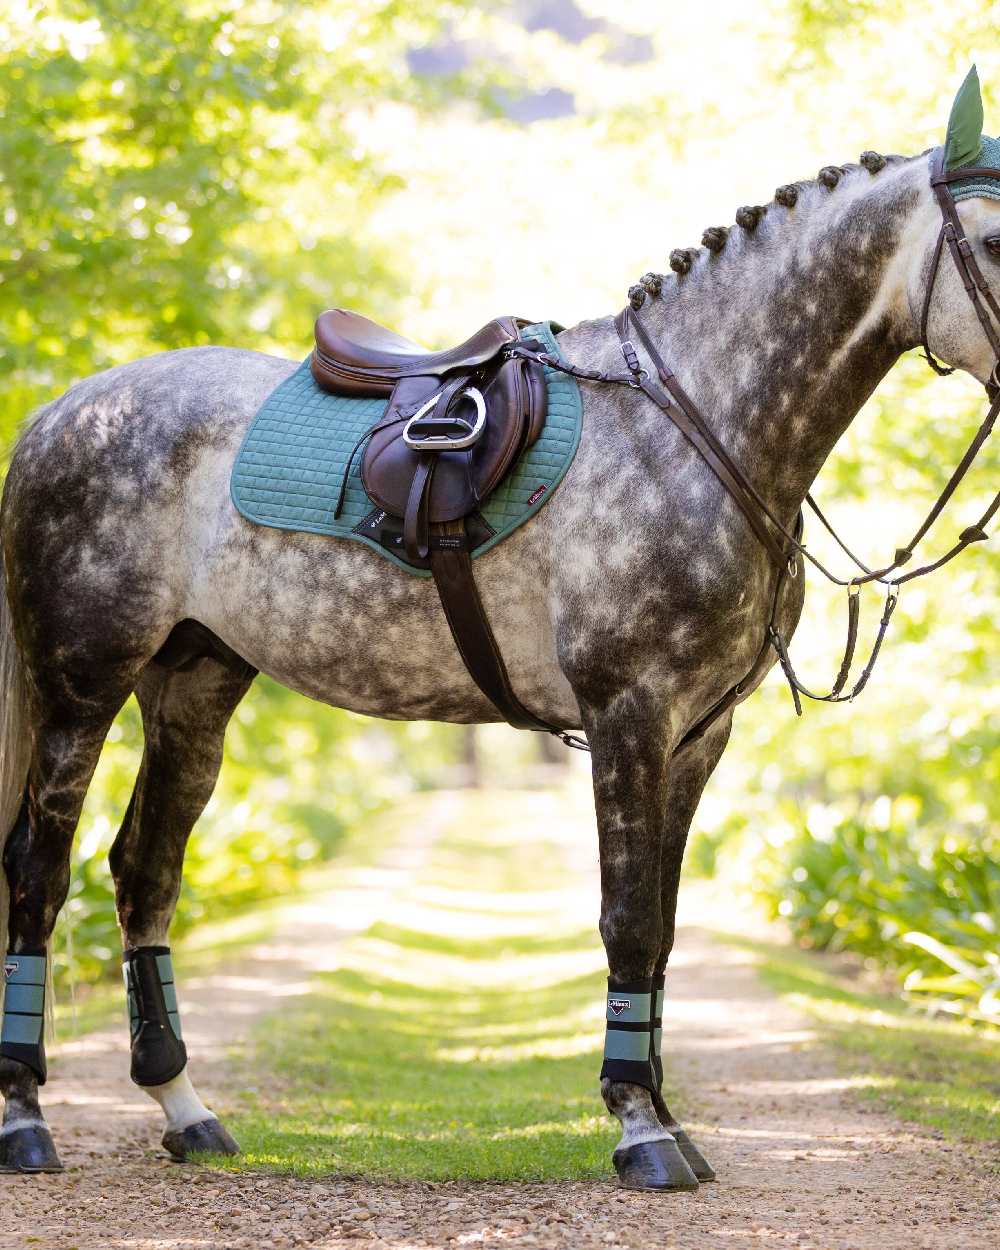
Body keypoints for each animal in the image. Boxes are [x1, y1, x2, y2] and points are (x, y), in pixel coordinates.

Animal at [1, 70, 1000, 1190]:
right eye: (996, 239)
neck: (690, 422)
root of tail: (62, 412)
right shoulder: (627, 717)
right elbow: (626, 918)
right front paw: (640, 1128)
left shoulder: (699, 735)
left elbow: (660, 927)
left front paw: (665, 1117)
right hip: (81, 688)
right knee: (40, 872)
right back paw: (25, 1119)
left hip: (194, 684)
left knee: (144, 870)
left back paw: (186, 1109)